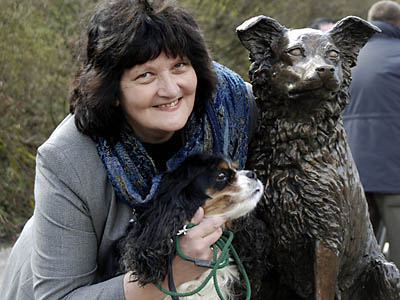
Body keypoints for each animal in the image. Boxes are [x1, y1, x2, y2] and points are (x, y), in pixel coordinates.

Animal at [234, 15, 400, 300]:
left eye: (333, 54)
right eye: (295, 51)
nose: (325, 70)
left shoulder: (325, 235)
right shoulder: (263, 236)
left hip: (387, 272)